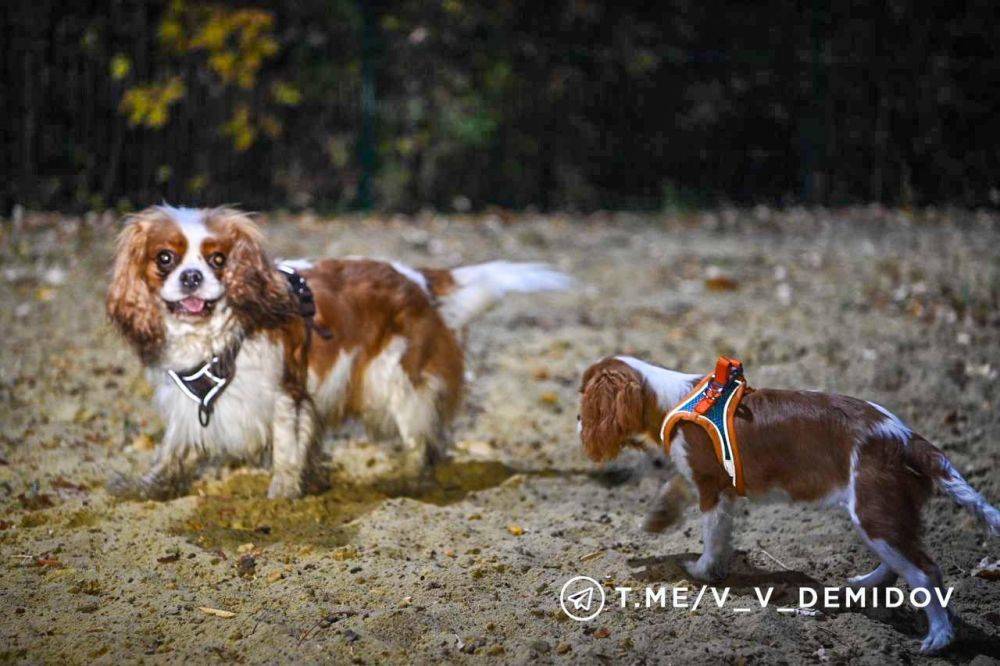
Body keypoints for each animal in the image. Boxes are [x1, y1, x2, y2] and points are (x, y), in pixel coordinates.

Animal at [103, 205, 572, 496]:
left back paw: (408, 481)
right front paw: (147, 487)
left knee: (422, 439)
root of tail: (419, 279)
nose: (192, 277)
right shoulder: (188, 403)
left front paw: (282, 496)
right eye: (165, 258)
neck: (214, 335)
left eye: (218, 260)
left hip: (398, 380)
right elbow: (173, 449)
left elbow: (287, 451)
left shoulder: (285, 394)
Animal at [580, 356, 1000, 652]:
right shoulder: (705, 481)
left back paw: (939, 639)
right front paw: (657, 520)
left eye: (584, 402)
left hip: (874, 509)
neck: (672, 397)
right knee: (900, 561)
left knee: (926, 572)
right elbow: (678, 492)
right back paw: (865, 584)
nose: (577, 421)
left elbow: (712, 537)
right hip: (881, 511)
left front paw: (701, 571)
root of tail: (904, 436)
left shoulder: (712, 486)